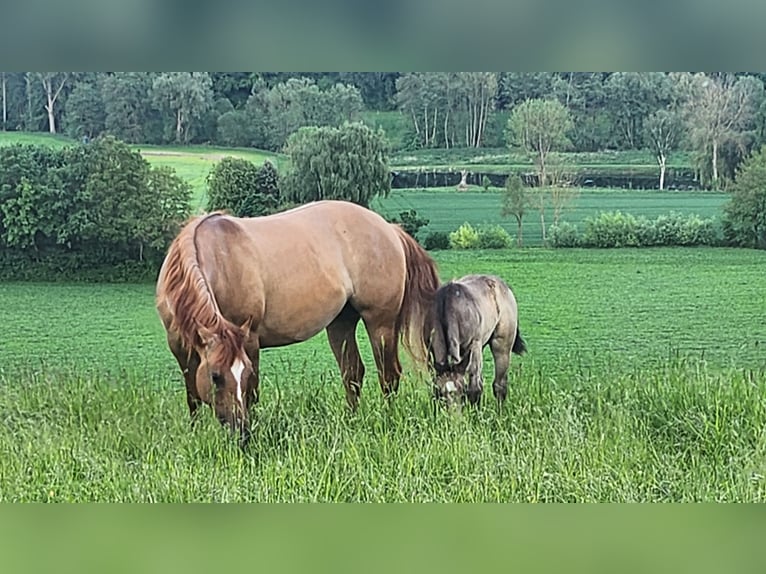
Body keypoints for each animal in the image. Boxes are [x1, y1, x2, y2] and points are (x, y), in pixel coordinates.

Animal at [156, 200, 440, 444]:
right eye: (215, 377)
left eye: (244, 373)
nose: (242, 434)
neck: (219, 259)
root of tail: (390, 229)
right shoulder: (181, 349)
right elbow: (192, 396)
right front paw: (195, 433)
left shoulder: (249, 340)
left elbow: (252, 393)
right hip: (341, 323)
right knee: (352, 373)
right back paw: (350, 422)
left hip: (380, 323)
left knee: (388, 375)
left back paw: (387, 420)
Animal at [428, 274, 524, 404]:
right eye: (440, 393)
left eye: (462, 389)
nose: (454, 410)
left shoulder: (474, 345)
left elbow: (475, 388)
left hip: (500, 344)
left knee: (499, 384)